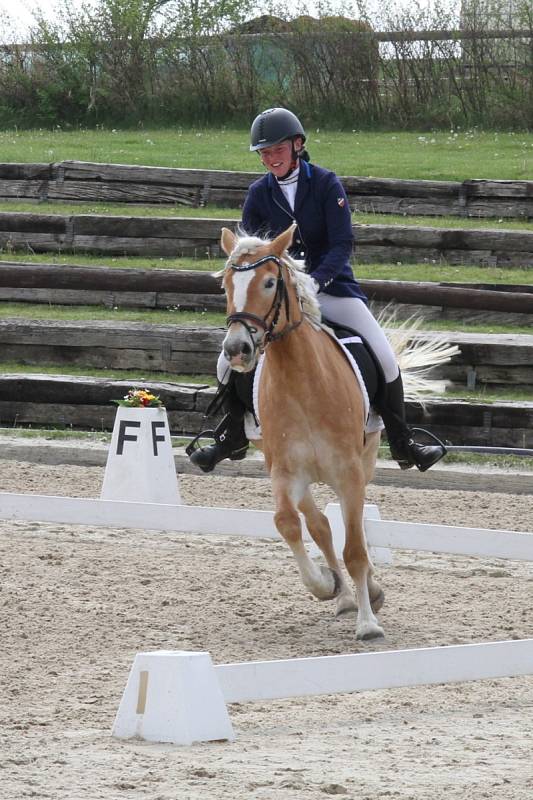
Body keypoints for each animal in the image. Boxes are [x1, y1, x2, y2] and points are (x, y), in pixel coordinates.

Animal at [218, 222, 456, 640]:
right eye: (227, 283)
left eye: (269, 282)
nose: (236, 349)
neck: (302, 383)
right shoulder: (284, 471)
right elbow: (289, 525)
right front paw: (326, 585)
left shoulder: (349, 472)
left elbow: (356, 548)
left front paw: (368, 622)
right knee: (320, 525)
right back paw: (343, 595)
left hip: (366, 458)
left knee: (351, 530)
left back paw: (368, 594)